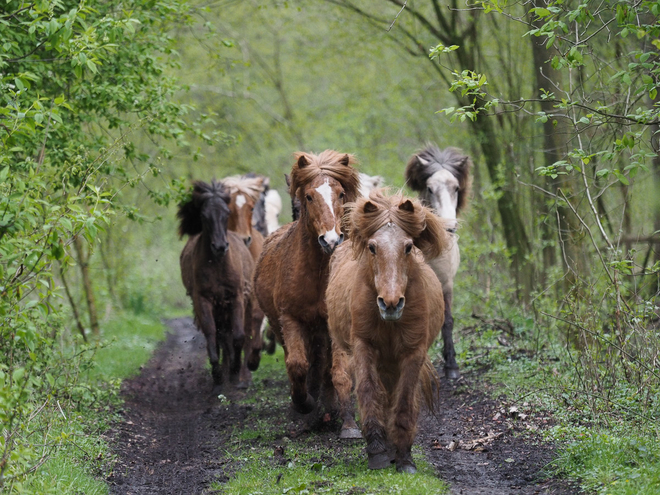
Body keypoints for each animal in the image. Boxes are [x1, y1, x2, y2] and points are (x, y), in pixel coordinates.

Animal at [178, 181, 255, 392]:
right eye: (204, 216)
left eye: (227, 213)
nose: (220, 246)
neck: (218, 264)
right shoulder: (203, 299)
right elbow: (211, 334)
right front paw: (218, 374)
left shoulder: (236, 297)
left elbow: (238, 335)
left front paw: (235, 372)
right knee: (220, 336)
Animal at [253, 150, 358, 414]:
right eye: (309, 196)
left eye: (341, 194)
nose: (330, 240)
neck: (317, 277)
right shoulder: (290, 318)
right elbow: (297, 364)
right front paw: (303, 402)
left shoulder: (331, 323)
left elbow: (335, 369)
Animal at [326, 189, 448, 472]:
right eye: (372, 247)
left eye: (408, 247)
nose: (390, 303)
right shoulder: (363, 347)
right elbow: (369, 391)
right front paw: (377, 451)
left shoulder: (413, 352)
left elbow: (403, 401)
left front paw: (404, 457)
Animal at [402, 145, 470, 382]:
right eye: (430, 189)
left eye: (456, 187)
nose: (449, 226)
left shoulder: (446, 283)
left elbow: (447, 321)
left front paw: (452, 366)